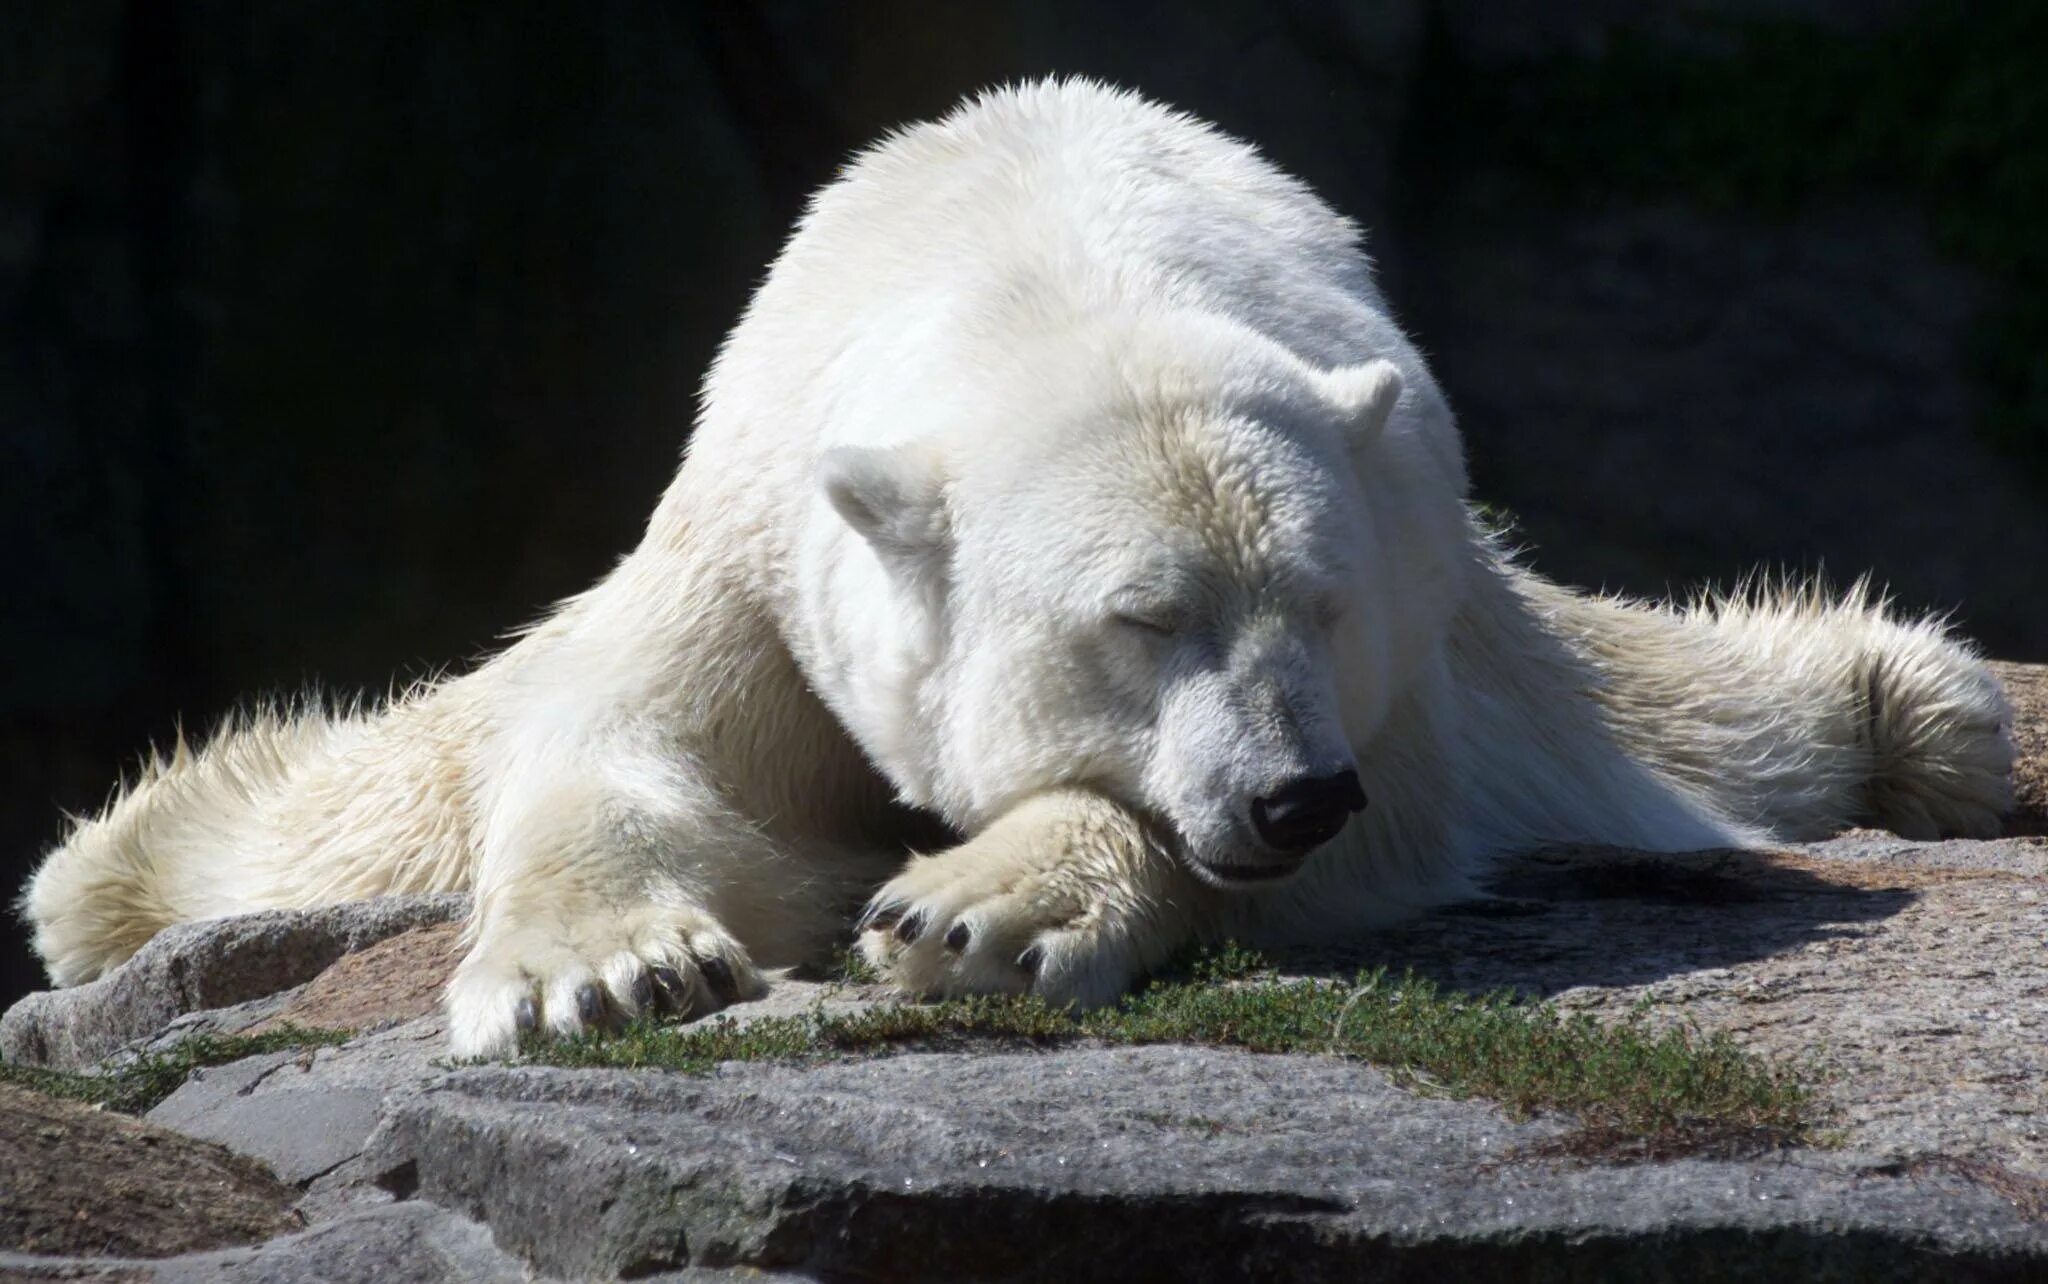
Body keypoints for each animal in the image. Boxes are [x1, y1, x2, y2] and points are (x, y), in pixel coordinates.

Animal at [16, 82, 2007, 1064]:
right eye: (1145, 619)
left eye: (1321, 604)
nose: (1287, 790)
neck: (1052, 270)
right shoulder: (760, 543)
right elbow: (633, 758)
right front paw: (610, 974)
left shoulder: (1408, 621)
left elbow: (1398, 826)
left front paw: (982, 903)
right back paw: (118, 867)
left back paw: (1935, 718)